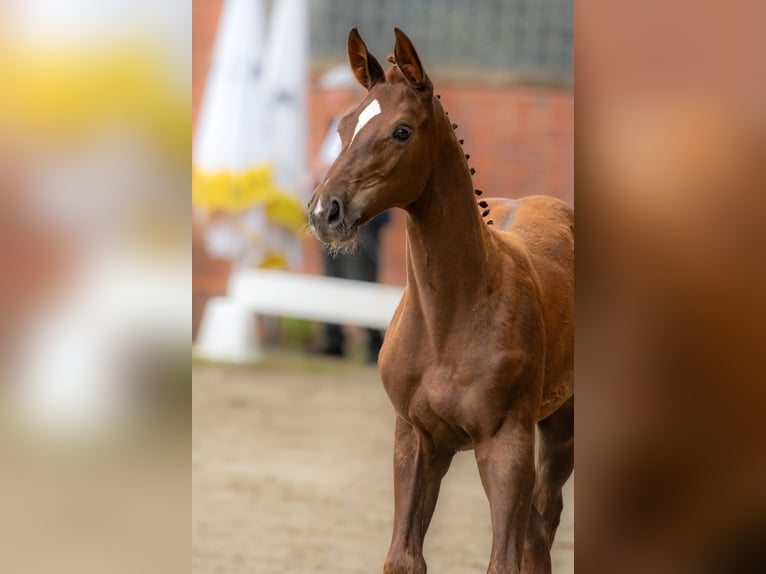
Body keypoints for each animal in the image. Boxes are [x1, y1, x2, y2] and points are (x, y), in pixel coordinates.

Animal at [308, 28, 574, 574]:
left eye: (402, 131)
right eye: (343, 126)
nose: (326, 211)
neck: (449, 320)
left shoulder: (505, 444)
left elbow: (505, 560)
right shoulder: (417, 439)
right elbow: (403, 557)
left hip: (561, 425)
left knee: (541, 528)